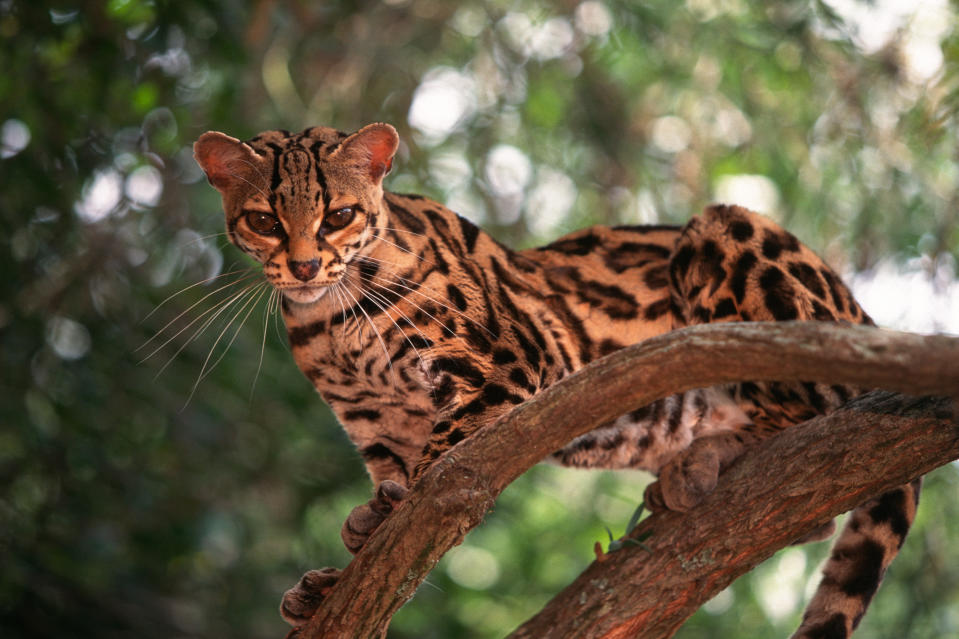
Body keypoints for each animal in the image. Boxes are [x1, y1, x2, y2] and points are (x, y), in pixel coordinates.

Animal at [193, 122, 924, 636]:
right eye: (263, 219)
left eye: (338, 215)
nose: (304, 265)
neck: (332, 316)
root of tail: (866, 315)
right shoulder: (381, 427)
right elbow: (393, 532)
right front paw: (335, 579)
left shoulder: (513, 362)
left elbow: (431, 490)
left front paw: (371, 536)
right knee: (813, 512)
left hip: (729, 234)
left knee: (813, 418)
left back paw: (711, 455)